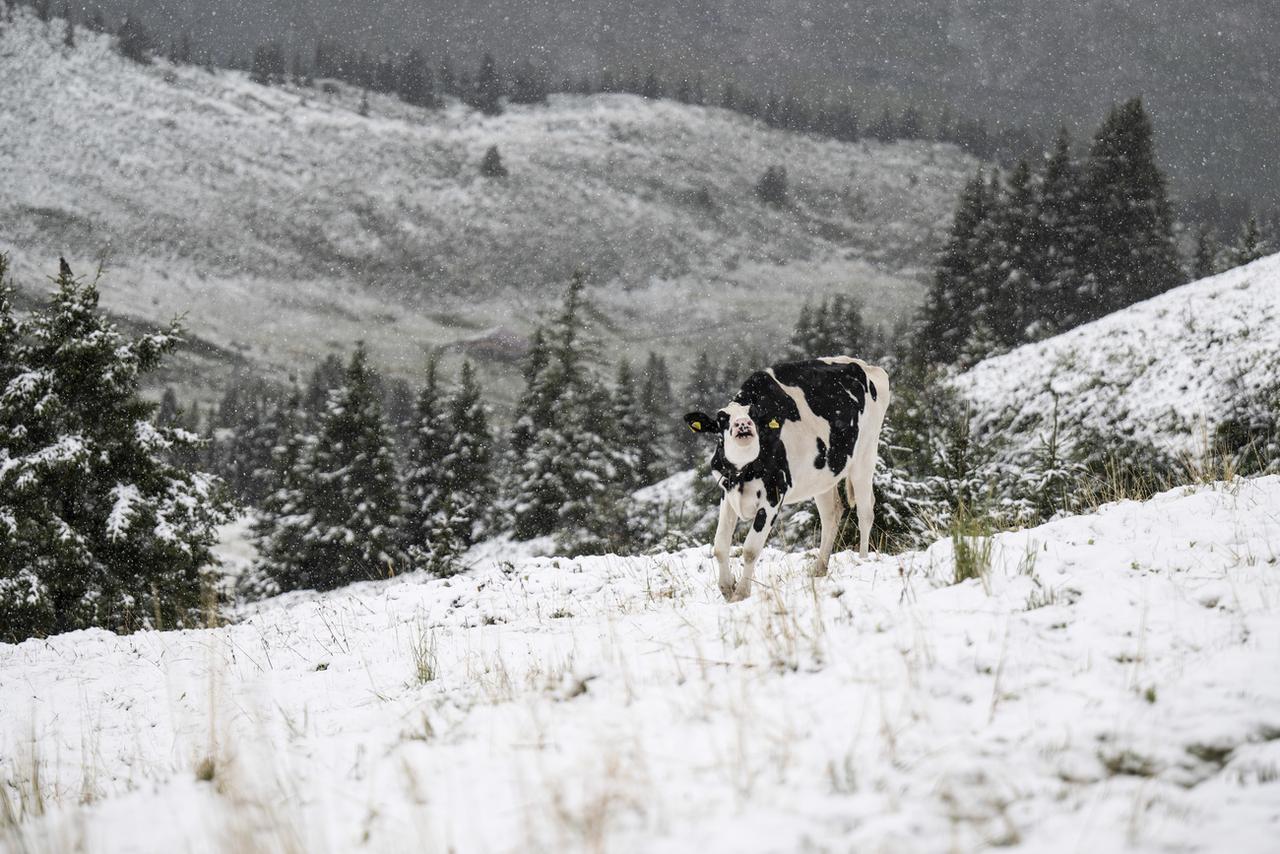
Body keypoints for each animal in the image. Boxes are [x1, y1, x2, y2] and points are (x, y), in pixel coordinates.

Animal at [680, 353, 890, 601]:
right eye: (722, 420)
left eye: (754, 415)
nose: (743, 424)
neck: (744, 470)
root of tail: (865, 365)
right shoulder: (727, 492)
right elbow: (720, 545)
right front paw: (726, 588)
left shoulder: (772, 496)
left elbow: (750, 549)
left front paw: (741, 593)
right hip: (823, 476)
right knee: (831, 514)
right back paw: (819, 569)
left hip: (865, 456)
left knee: (865, 512)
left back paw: (863, 560)